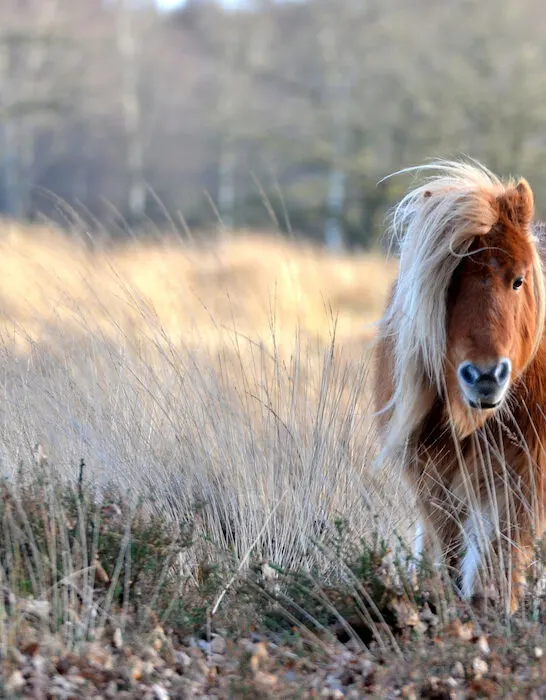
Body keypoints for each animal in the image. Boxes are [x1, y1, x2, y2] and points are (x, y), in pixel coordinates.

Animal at [374, 159, 546, 614]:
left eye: (518, 280)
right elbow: (449, 552)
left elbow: (503, 555)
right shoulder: (434, 477)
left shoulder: (523, 477)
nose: (485, 376)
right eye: (448, 284)